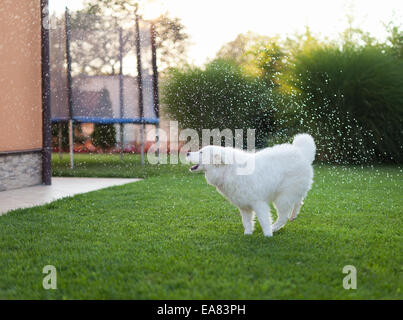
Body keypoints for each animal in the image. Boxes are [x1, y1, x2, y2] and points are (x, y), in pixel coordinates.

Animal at [186, 134, 316, 236]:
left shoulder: (259, 203)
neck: (229, 169)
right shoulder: (244, 206)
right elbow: (247, 222)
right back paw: (293, 216)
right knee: (299, 202)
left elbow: (264, 221)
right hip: (291, 193)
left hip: (283, 198)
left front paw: (268, 235)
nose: (187, 153)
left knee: (283, 217)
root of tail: (302, 152)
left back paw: (274, 228)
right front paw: (247, 234)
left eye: (201, 152)